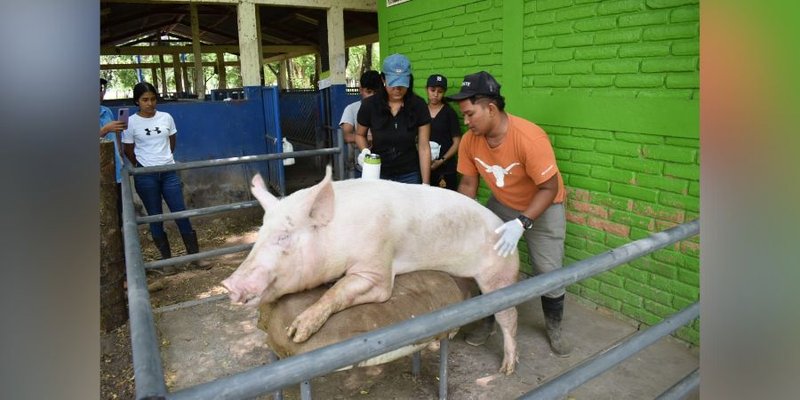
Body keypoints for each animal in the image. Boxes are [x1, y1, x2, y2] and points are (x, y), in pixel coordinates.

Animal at [220, 166, 520, 376]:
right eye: (259, 234)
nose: (228, 284)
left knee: (509, 316)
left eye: (283, 237)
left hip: (500, 275)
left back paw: (507, 369)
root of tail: (505, 228)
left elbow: (343, 290)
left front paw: (297, 332)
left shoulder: (377, 270)